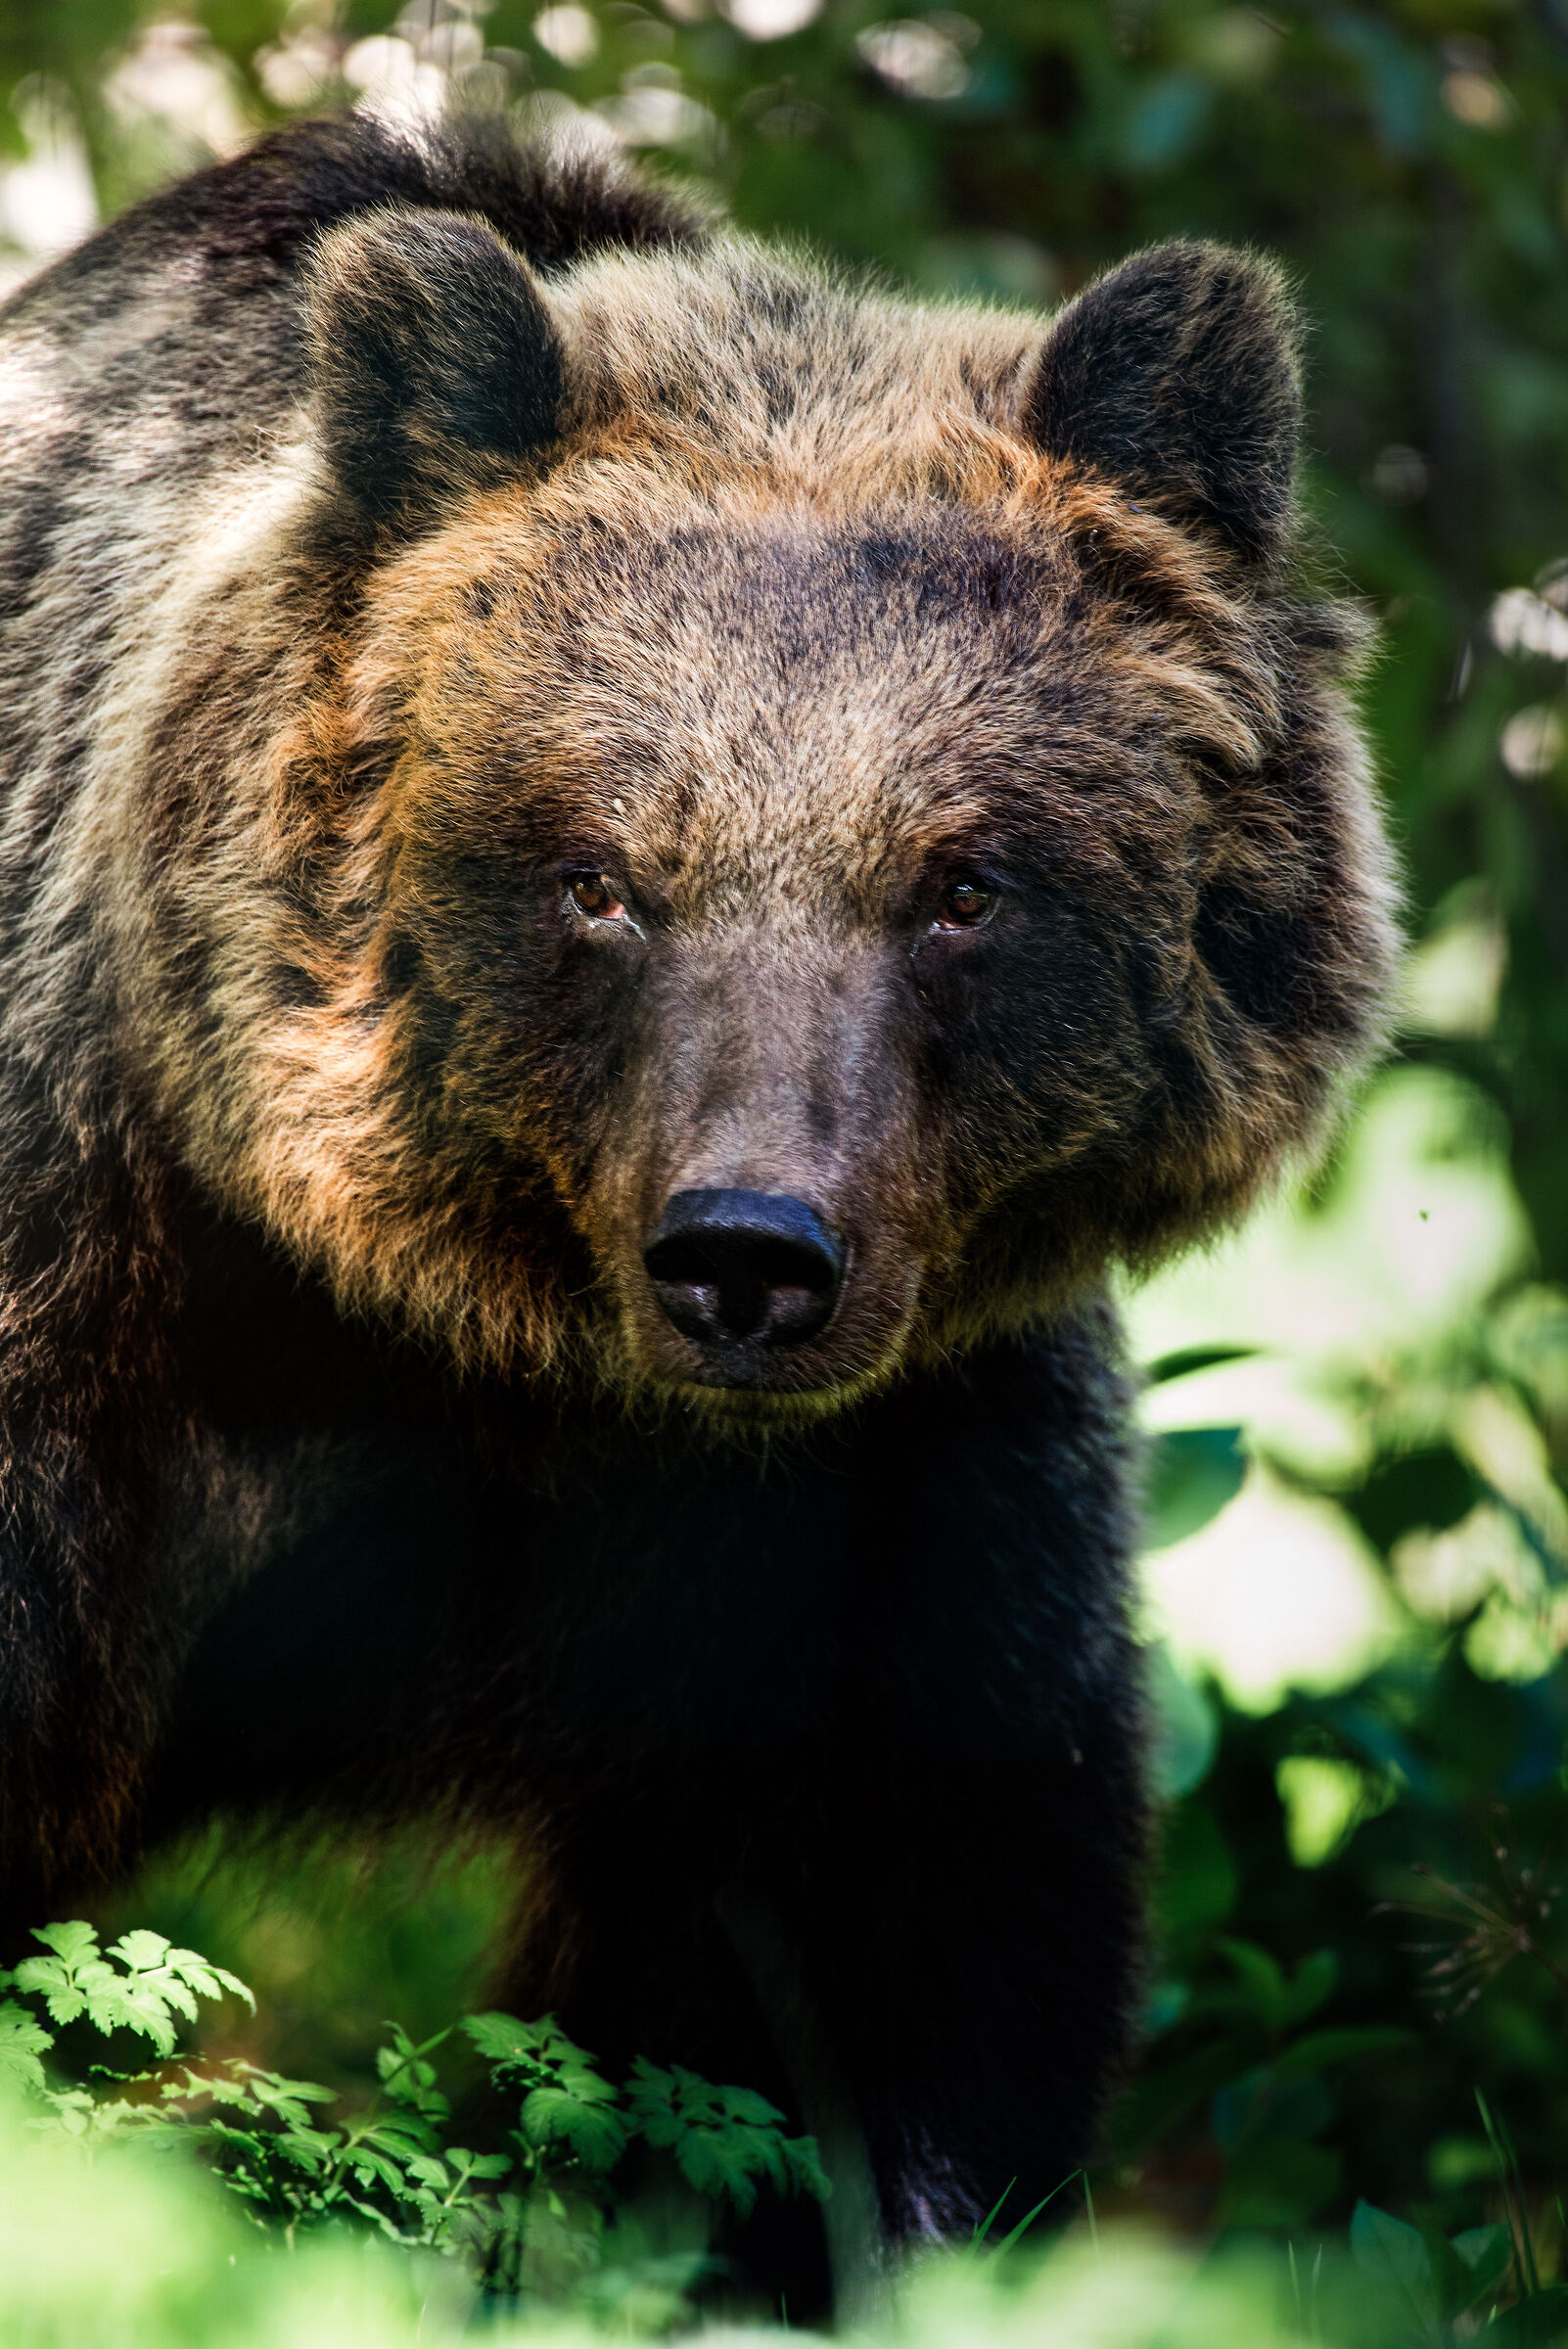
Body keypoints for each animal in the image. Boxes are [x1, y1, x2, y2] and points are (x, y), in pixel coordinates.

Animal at [0, 107, 1395, 2307]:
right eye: (597, 873)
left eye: (961, 882)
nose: (750, 1254)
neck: (461, 1332)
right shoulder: (90, 1342)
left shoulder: (872, 1502)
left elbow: (872, 1964)